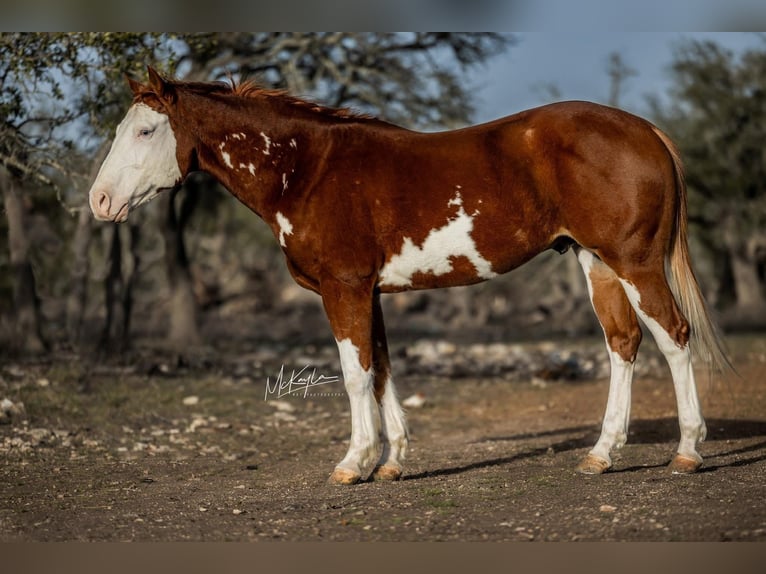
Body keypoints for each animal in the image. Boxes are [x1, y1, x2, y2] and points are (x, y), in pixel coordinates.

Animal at [90, 67, 732, 486]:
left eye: (145, 131)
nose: (99, 201)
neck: (308, 168)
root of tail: (645, 130)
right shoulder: (368, 291)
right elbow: (380, 370)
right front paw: (392, 460)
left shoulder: (344, 287)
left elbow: (354, 376)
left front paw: (353, 464)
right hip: (597, 263)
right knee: (623, 343)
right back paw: (601, 454)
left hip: (636, 263)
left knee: (674, 337)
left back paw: (687, 452)